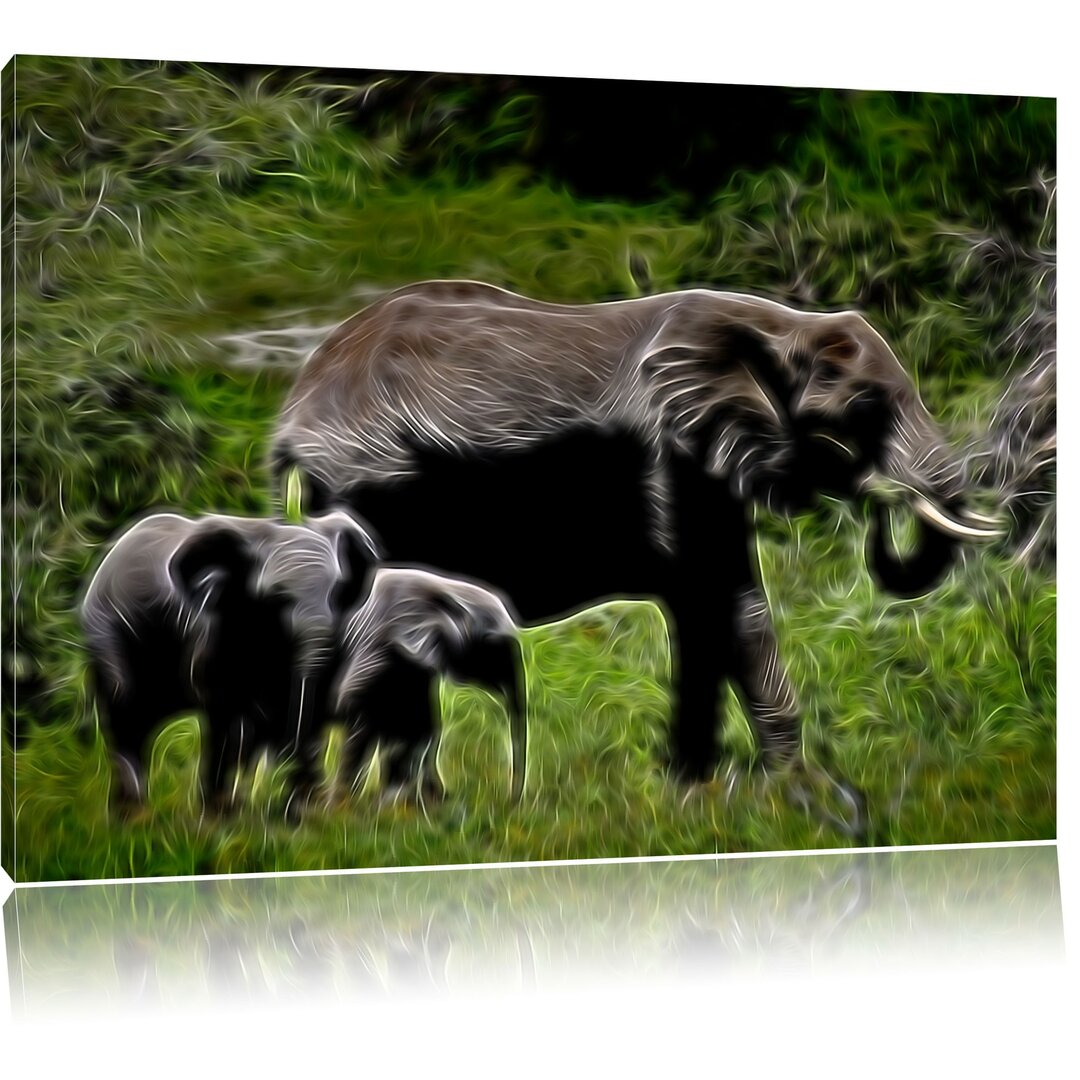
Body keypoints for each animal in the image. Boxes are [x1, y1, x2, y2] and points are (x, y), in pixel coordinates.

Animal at [79, 507, 378, 812]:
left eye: (339, 591)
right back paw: (133, 813)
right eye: (273, 599)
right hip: (108, 631)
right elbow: (227, 711)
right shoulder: (214, 626)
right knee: (126, 713)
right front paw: (220, 813)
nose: (313, 792)